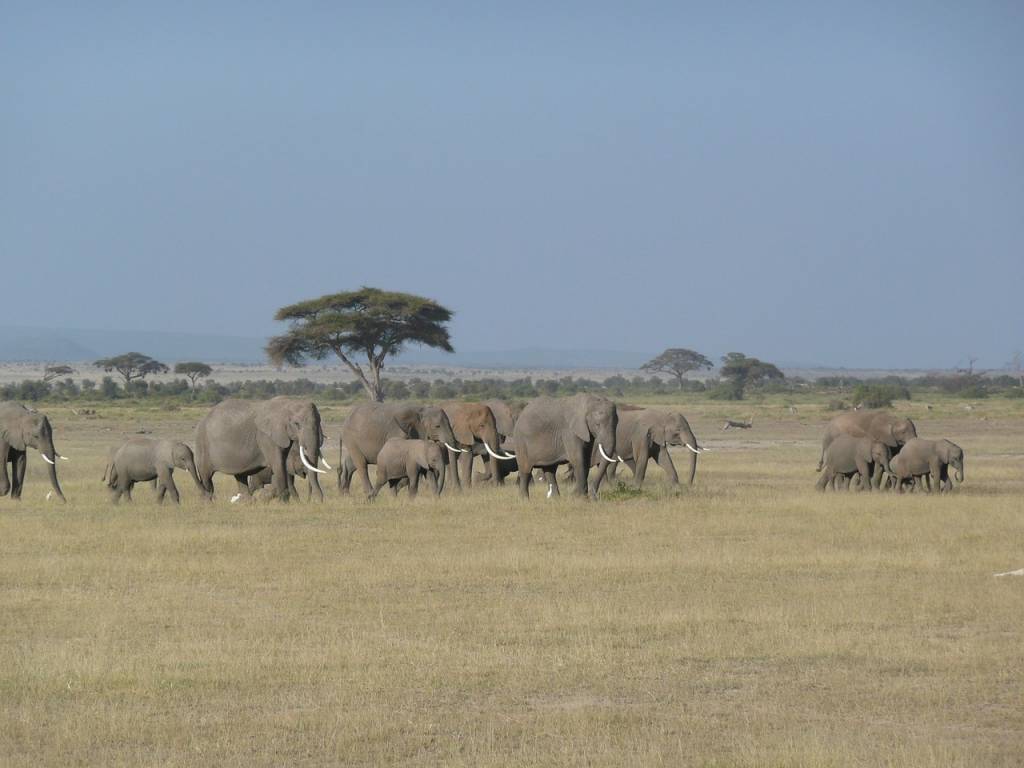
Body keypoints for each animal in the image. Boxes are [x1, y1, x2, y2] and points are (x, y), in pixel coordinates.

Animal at [193, 399, 325, 501]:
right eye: (297, 424)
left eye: (319, 421)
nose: (318, 501)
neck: (288, 403)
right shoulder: (266, 437)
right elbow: (278, 465)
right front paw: (284, 502)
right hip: (202, 445)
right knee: (206, 477)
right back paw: (207, 502)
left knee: (240, 477)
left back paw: (247, 502)